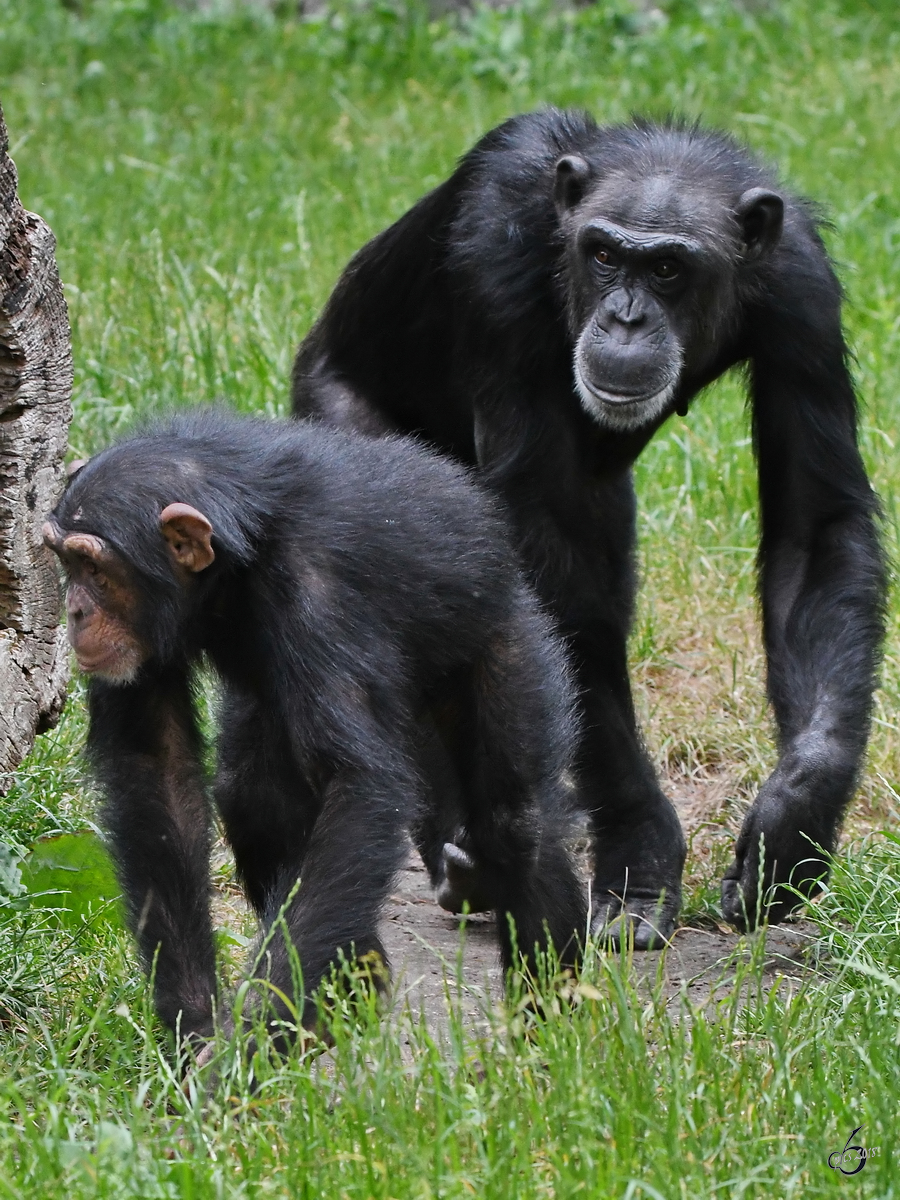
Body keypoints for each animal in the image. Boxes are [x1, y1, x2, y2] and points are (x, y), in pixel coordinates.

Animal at [42, 408, 588, 1046]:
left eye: (95, 568)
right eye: (67, 563)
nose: (74, 609)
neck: (235, 564)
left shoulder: (320, 594)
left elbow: (356, 784)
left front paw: (248, 1047)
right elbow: (157, 768)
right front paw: (196, 1026)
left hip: (510, 634)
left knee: (516, 817)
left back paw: (551, 1021)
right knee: (253, 794)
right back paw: (354, 986)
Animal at [294, 108, 888, 940]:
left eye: (667, 268)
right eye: (605, 255)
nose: (625, 317)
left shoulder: (804, 286)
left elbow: (815, 525)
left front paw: (794, 820)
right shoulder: (496, 263)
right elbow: (553, 573)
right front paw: (639, 849)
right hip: (335, 411)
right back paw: (459, 850)